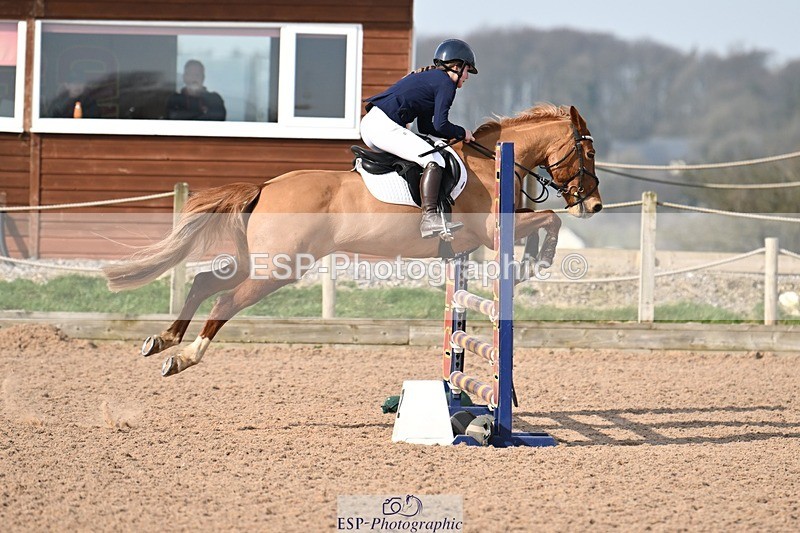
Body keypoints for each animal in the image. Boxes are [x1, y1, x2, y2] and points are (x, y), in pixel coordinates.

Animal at [103, 103, 603, 377]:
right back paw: (184, 357)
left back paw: (164, 341)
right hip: (279, 269)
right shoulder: (496, 231)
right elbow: (549, 220)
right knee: (225, 301)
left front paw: (531, 263)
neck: (492, 162)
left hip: (261, 260)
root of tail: (265, 187)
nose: (595, 206)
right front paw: (533, 263)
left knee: (205, 282)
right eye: (589, 150)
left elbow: (545, 220)